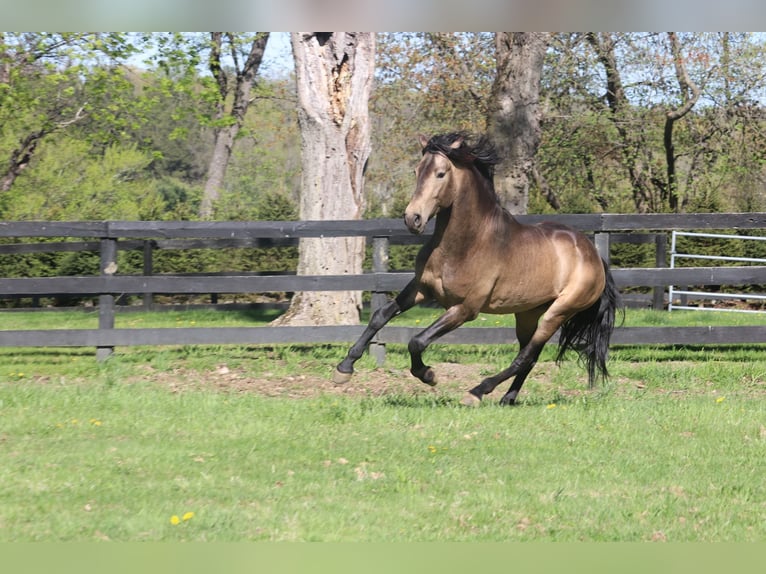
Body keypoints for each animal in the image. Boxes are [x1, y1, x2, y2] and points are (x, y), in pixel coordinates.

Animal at [333, 132, 622, 406]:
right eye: (417, 171)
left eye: (440, 173)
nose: (412, 218)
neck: (467, 244)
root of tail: (593, 254)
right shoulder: (421, 288)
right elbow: (380, 315)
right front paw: (344, 369)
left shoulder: (465, 309)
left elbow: (417, 341)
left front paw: (428, 374)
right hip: (527, 313)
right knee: (529, 356)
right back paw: (508, 399)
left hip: (559, 312)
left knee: (524, 356)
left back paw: (477, 392)